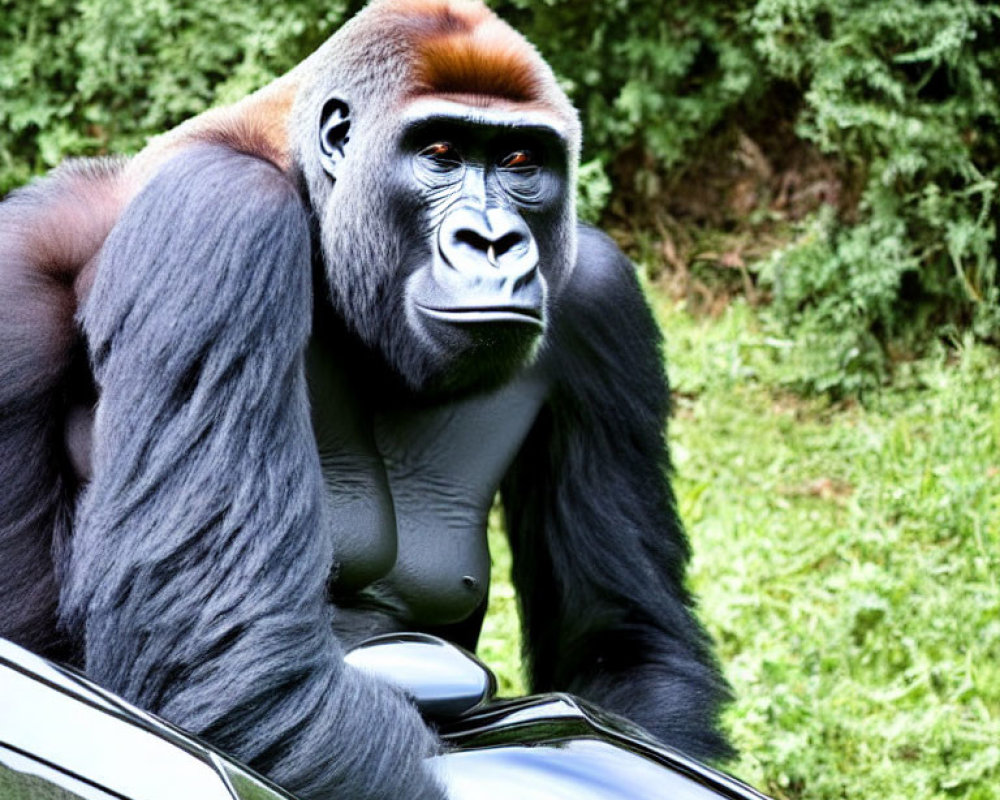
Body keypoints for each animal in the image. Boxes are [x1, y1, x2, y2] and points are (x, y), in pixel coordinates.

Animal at [1, 0, 736, 796]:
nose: (493, 241)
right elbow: (225, 654)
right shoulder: (223, 208)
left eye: (520, 163)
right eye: (440, 153)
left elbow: (623, 644)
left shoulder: (602, 293)